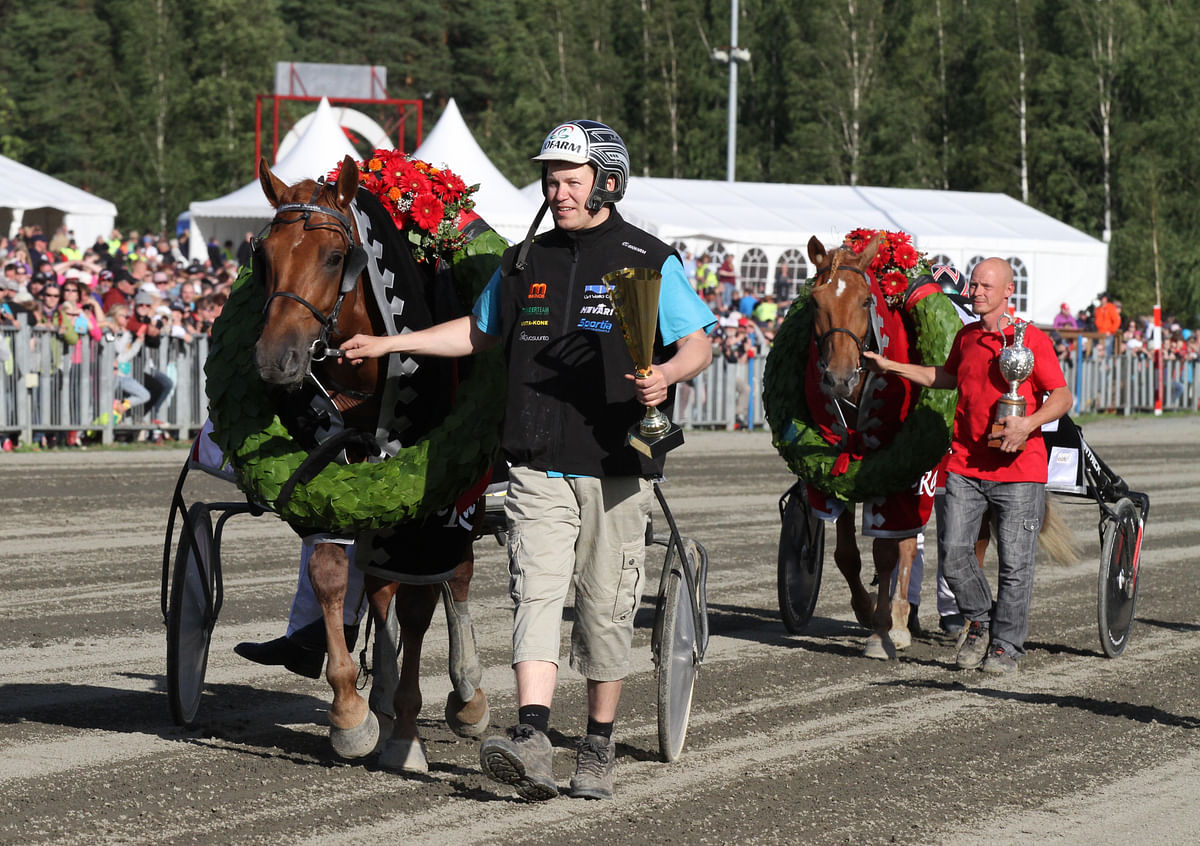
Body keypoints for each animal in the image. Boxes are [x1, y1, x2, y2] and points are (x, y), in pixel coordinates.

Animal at [253, 154, 492, 768]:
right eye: (264, 256)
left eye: (334, 257)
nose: (275, 360)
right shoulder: (336, 478)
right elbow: (332, 573)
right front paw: (351, 713)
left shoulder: (428, 499)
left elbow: (419, 604)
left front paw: (406, 732)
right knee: (384, 587)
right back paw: (380, 694)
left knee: (456, 577)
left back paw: (467, 696)